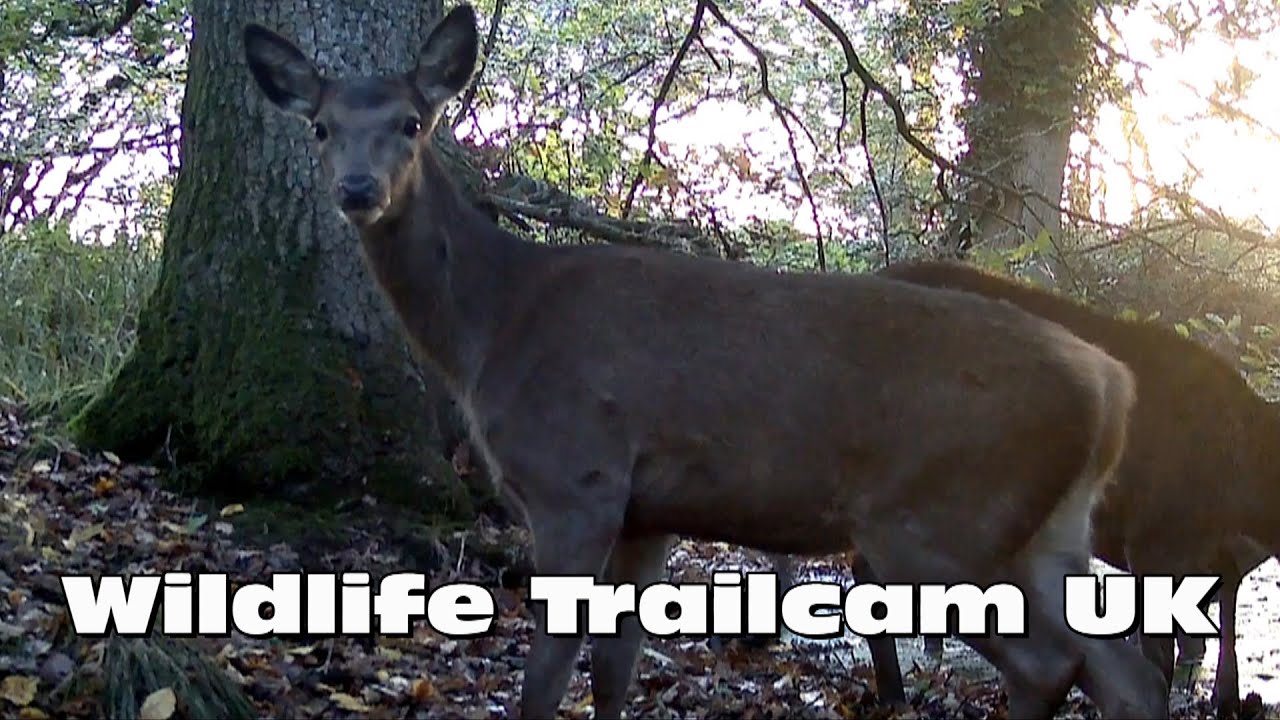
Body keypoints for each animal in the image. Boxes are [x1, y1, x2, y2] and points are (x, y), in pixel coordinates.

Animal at [241, 5, 1170, 718]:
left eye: (411, 122)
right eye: (321, 126)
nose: (357, 189)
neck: (493, 325)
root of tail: (1115, 387)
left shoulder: (575, 475)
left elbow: (546, 677)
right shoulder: (647, 510)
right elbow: (615, 670)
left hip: (941, 519)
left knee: (1054, 662)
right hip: (1047, 530)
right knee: (1125, 669)